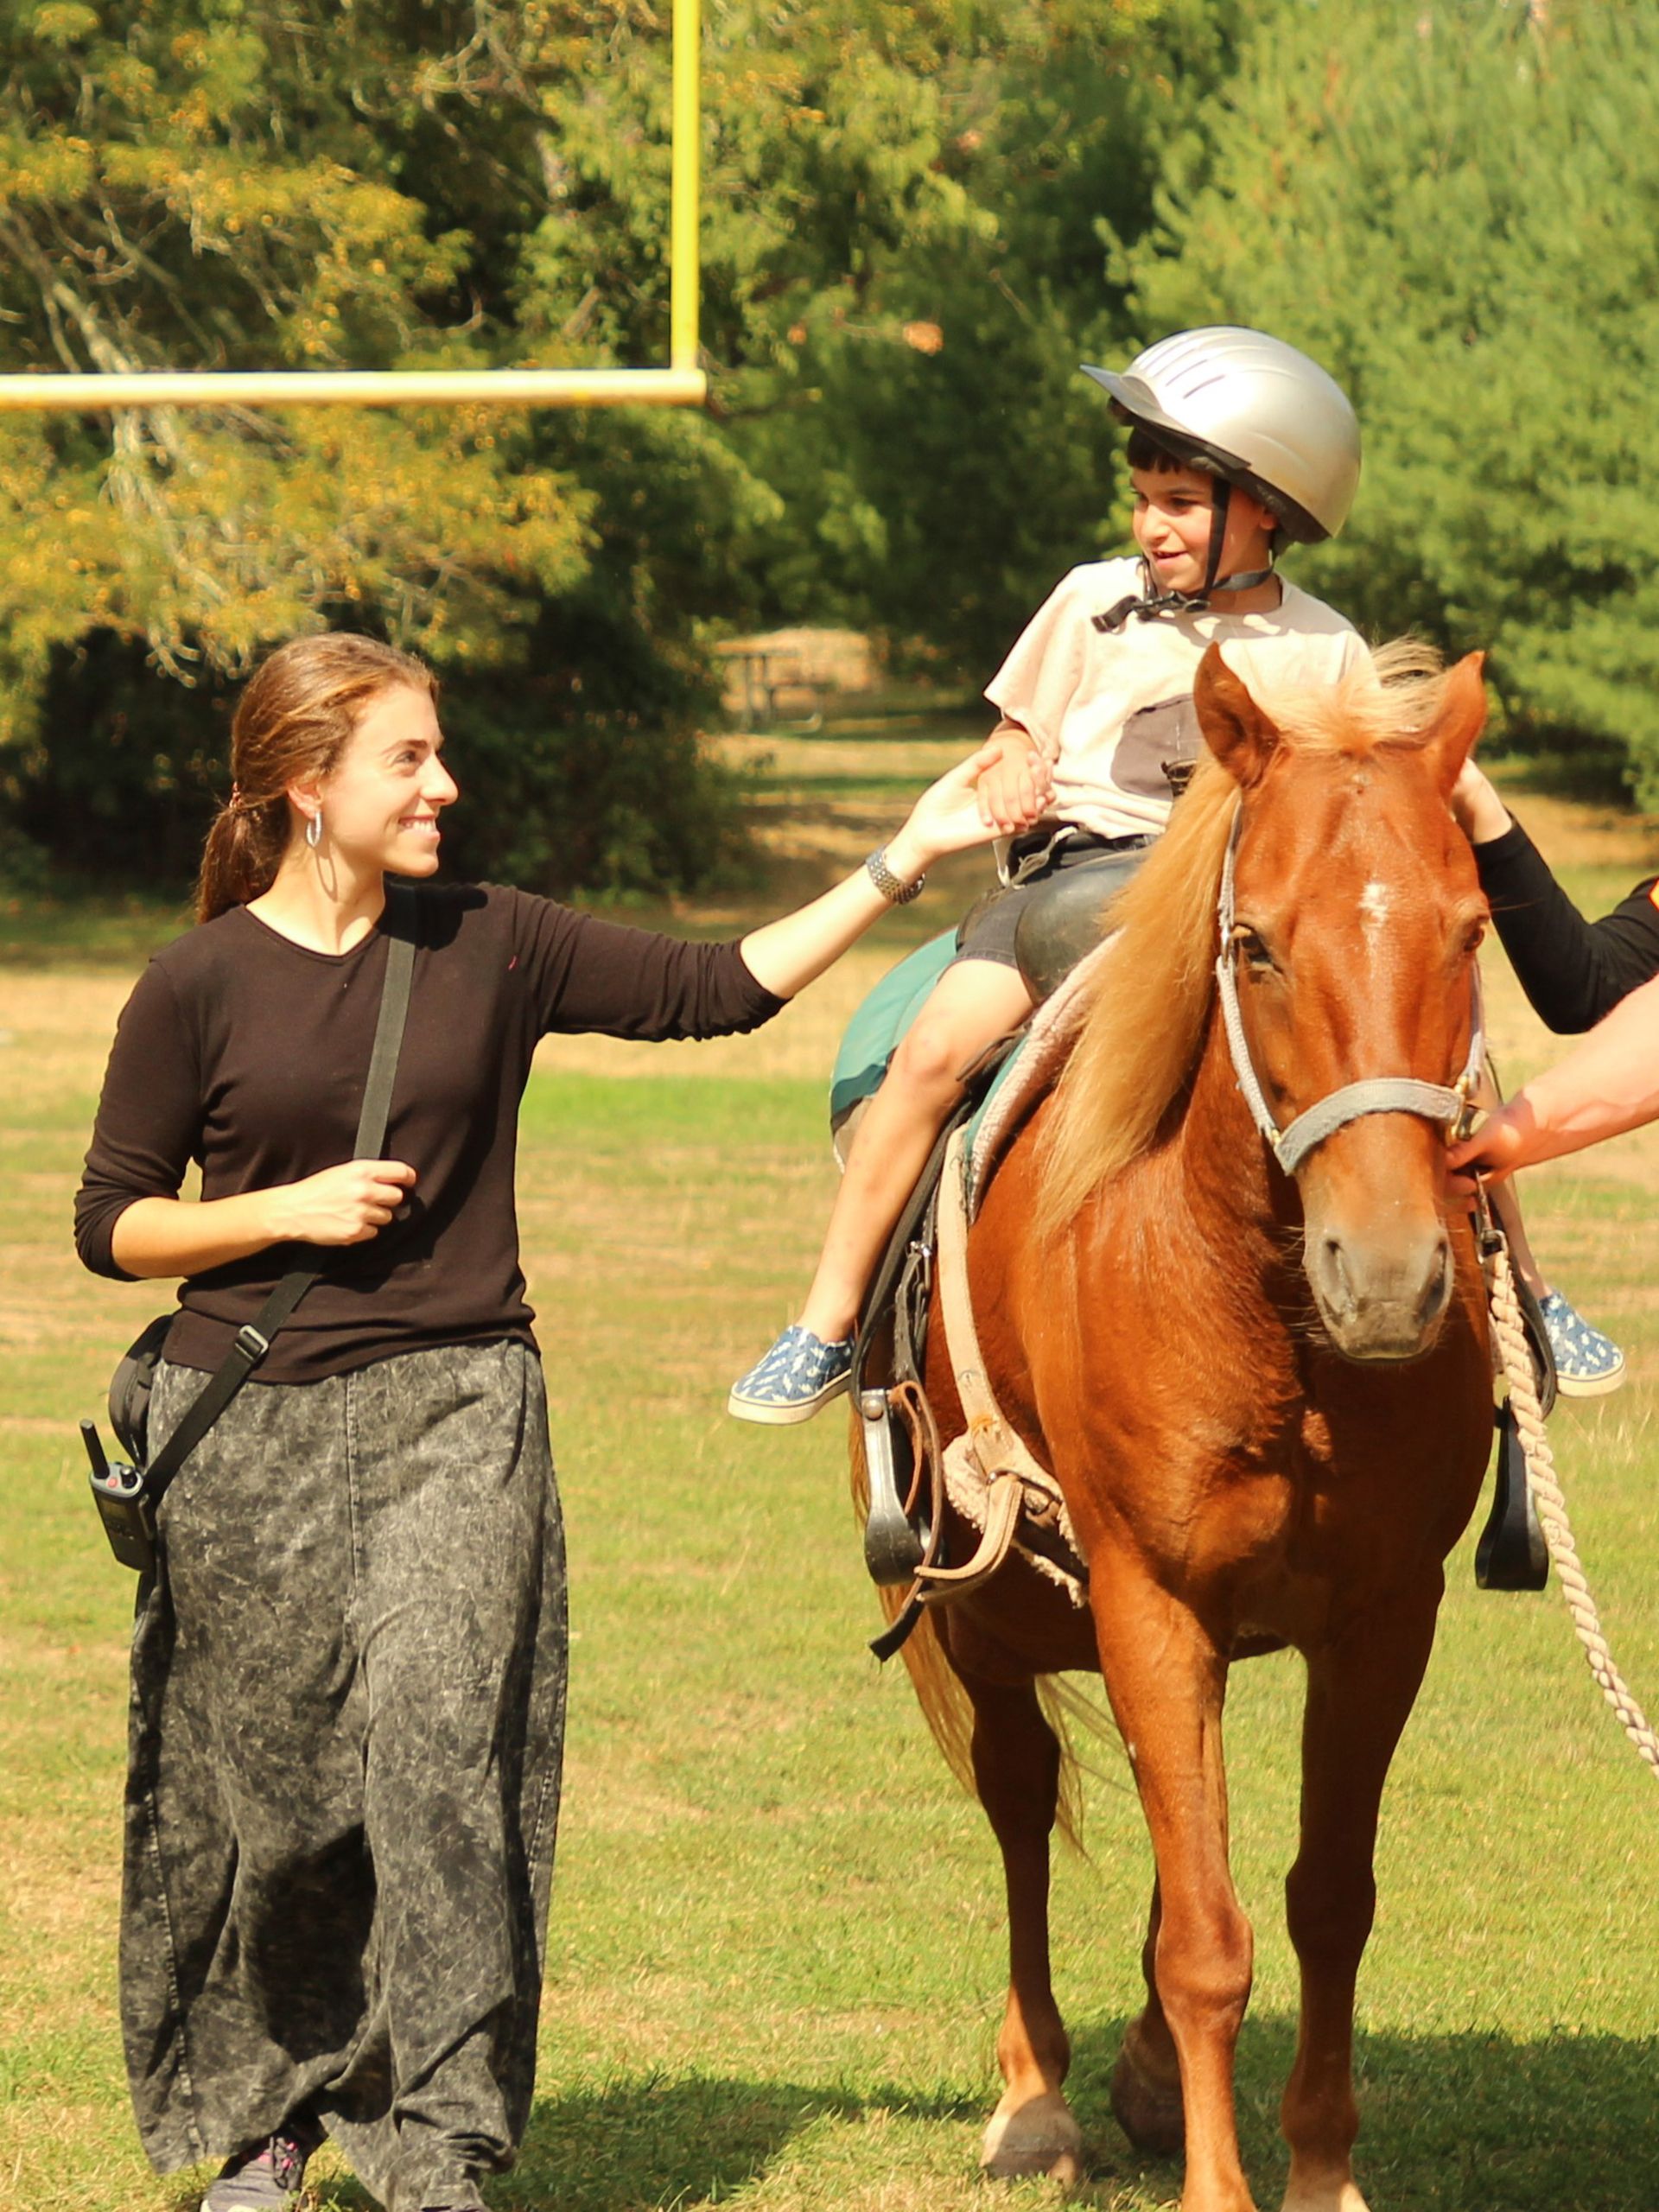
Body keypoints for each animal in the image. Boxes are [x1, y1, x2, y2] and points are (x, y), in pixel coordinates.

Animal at [891, 642, 1496, 2212]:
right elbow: (1209, 1945)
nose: (1389, 1273)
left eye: (1472, 934)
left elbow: (1323, 1903)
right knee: (1024, 1809)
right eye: (1261, 947)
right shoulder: (1149, 1606)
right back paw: (1036, 2097)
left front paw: (1321, 2169)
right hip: (996, 1626)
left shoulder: (1382, 1620)